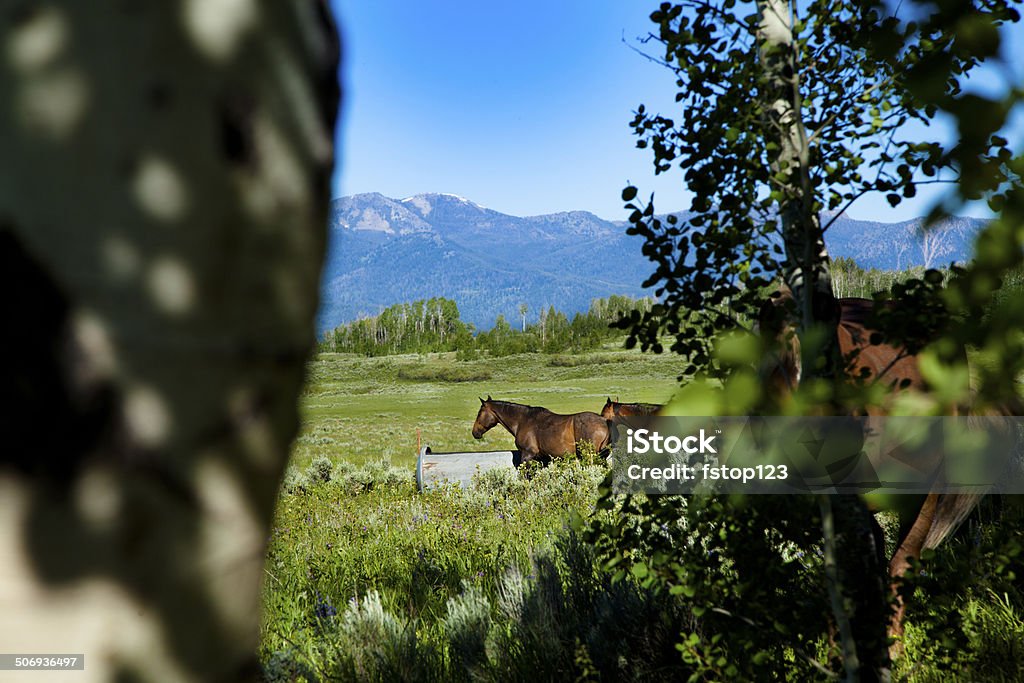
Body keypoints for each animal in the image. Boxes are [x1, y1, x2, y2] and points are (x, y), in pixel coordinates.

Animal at [473, 397, 614, 466]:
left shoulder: (527, 455)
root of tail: (604, 421)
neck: (523, 420)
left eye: (479, 413)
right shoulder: (543, 458)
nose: (475, 432)